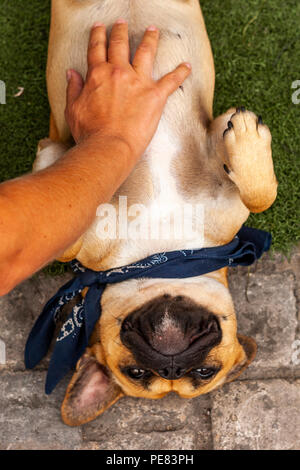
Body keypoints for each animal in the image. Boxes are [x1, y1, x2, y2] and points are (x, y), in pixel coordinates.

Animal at [34, 0, 278, 426]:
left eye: (204, 371)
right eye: (135, 372)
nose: (170, 365)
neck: (161, 248)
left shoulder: (226, 207)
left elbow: (260, 196)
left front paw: (246, 137)